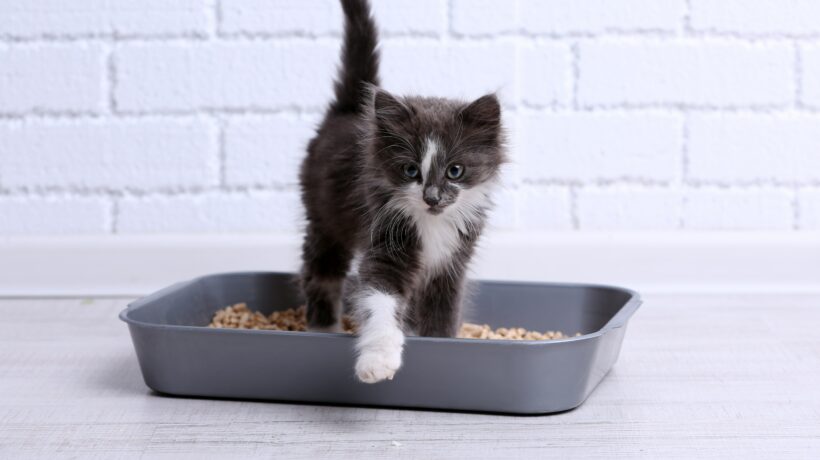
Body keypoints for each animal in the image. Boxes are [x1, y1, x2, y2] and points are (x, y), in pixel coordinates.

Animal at [300, 0, 506, 382]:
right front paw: (378, 361)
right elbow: (380, 302)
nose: (432, 198)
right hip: (323, 218)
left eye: (455, 171)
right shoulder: (385, 242)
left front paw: (443, 345)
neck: (433, 225)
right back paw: (322, 327)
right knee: (320, 274)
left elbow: (442, 313)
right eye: (410, 170)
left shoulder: (452, 264)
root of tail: (347, 111)